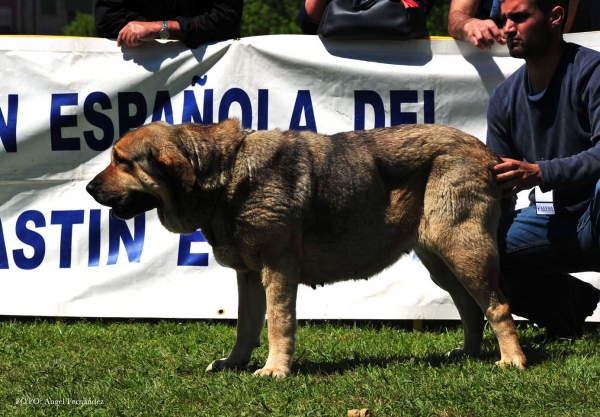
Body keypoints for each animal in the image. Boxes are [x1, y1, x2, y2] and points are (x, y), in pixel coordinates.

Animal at [84, 118, 524, 376]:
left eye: (122, 161)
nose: (88, 188)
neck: (227, 173)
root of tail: (487, 152)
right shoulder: (248, 275)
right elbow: (245, 325)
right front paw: (234, 363)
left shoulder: (277, 269)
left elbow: (279, 323)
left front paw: (275, 370)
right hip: (441, 262)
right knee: (471, 309)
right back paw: (468, 354)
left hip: (465, 251)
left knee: (498, 306)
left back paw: (512, 360)